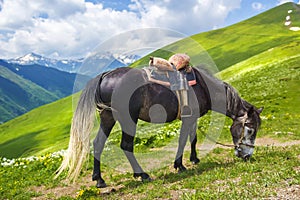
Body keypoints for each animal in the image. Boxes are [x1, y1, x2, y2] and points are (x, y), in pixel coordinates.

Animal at [56, 66, 262, 188]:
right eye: (250, 129)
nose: (247, 156)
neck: (203, 87)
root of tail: (104, 76)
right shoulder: (188, 118)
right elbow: (183, 140)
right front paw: (180, 165)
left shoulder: (192, 118)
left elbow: (193, 138)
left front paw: (194, 159)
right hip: (128, 119)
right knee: (126, 145)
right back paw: (142, 174)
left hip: (108, 117)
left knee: (98, 144)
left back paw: (99, 180)